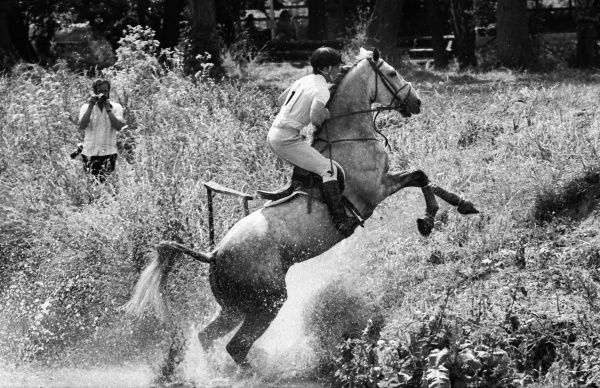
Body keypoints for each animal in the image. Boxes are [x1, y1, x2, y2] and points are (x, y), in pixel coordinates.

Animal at [124, 47, 480, 370]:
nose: (417, 102)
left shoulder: (384, 183)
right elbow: (421, 176)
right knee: (236, 347)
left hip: (234, 306)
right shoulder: (377, 189)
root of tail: (214, 254)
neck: (350, 135)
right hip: (267, 302)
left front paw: (464, 204)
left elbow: (428, 180)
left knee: (208, 337)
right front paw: (428, 220)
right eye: (392, 73)